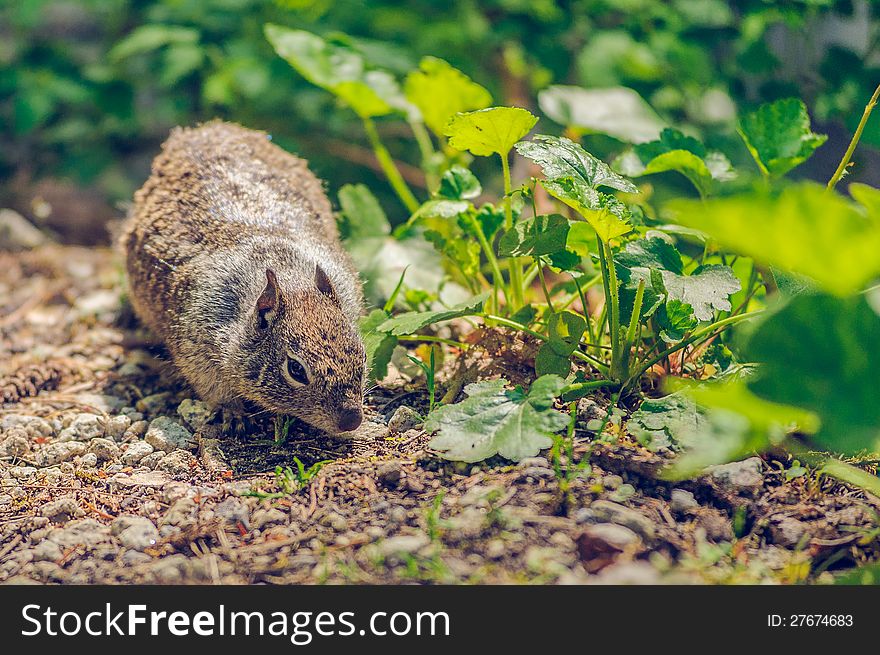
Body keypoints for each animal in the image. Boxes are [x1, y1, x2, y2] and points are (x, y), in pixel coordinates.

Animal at [119, 120, 364, 434]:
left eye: (362, 354)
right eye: (296, 369)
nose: (352, 420)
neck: (291, 279)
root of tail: (205, 129)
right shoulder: (198, 354)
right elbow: (217, 391)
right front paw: (233, 415)